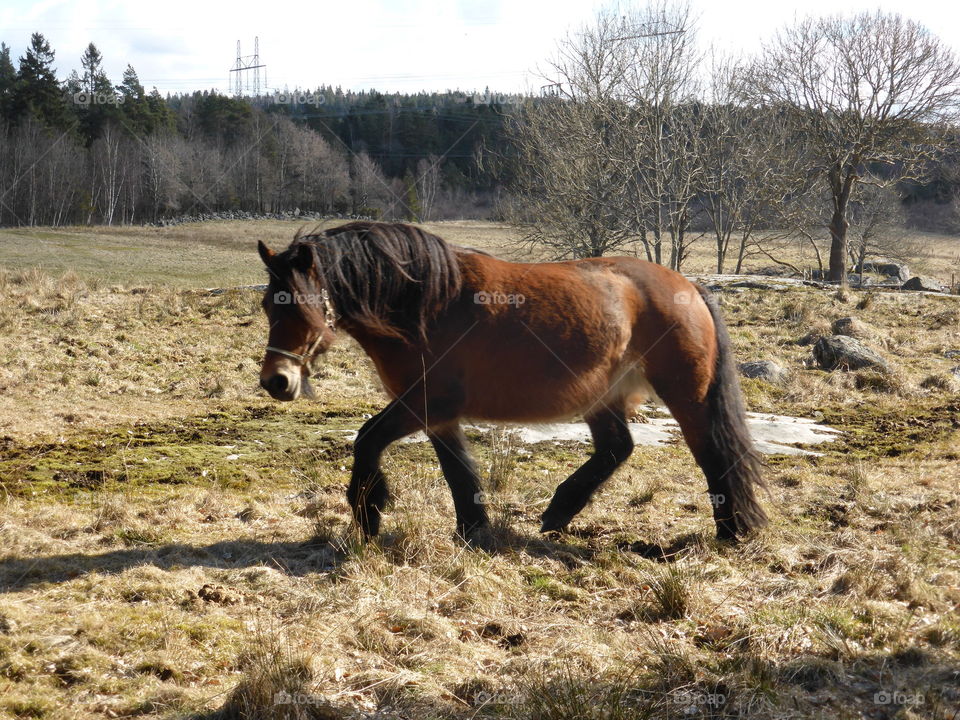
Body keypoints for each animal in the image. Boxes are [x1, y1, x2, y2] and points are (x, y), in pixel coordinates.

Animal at [256, 221, 767, 547]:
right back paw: (559, 514)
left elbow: (367, 439)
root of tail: (689, 287)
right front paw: (472, 530)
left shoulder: (422, 403)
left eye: (298, 303)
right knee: (616, 449)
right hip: (602, 396)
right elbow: (458, 472)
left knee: (712, 455)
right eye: (267, 304)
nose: (276, 381)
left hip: (686, 396)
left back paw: (730, 531)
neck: (424, 304)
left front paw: (368, 511)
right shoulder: (437, 415)